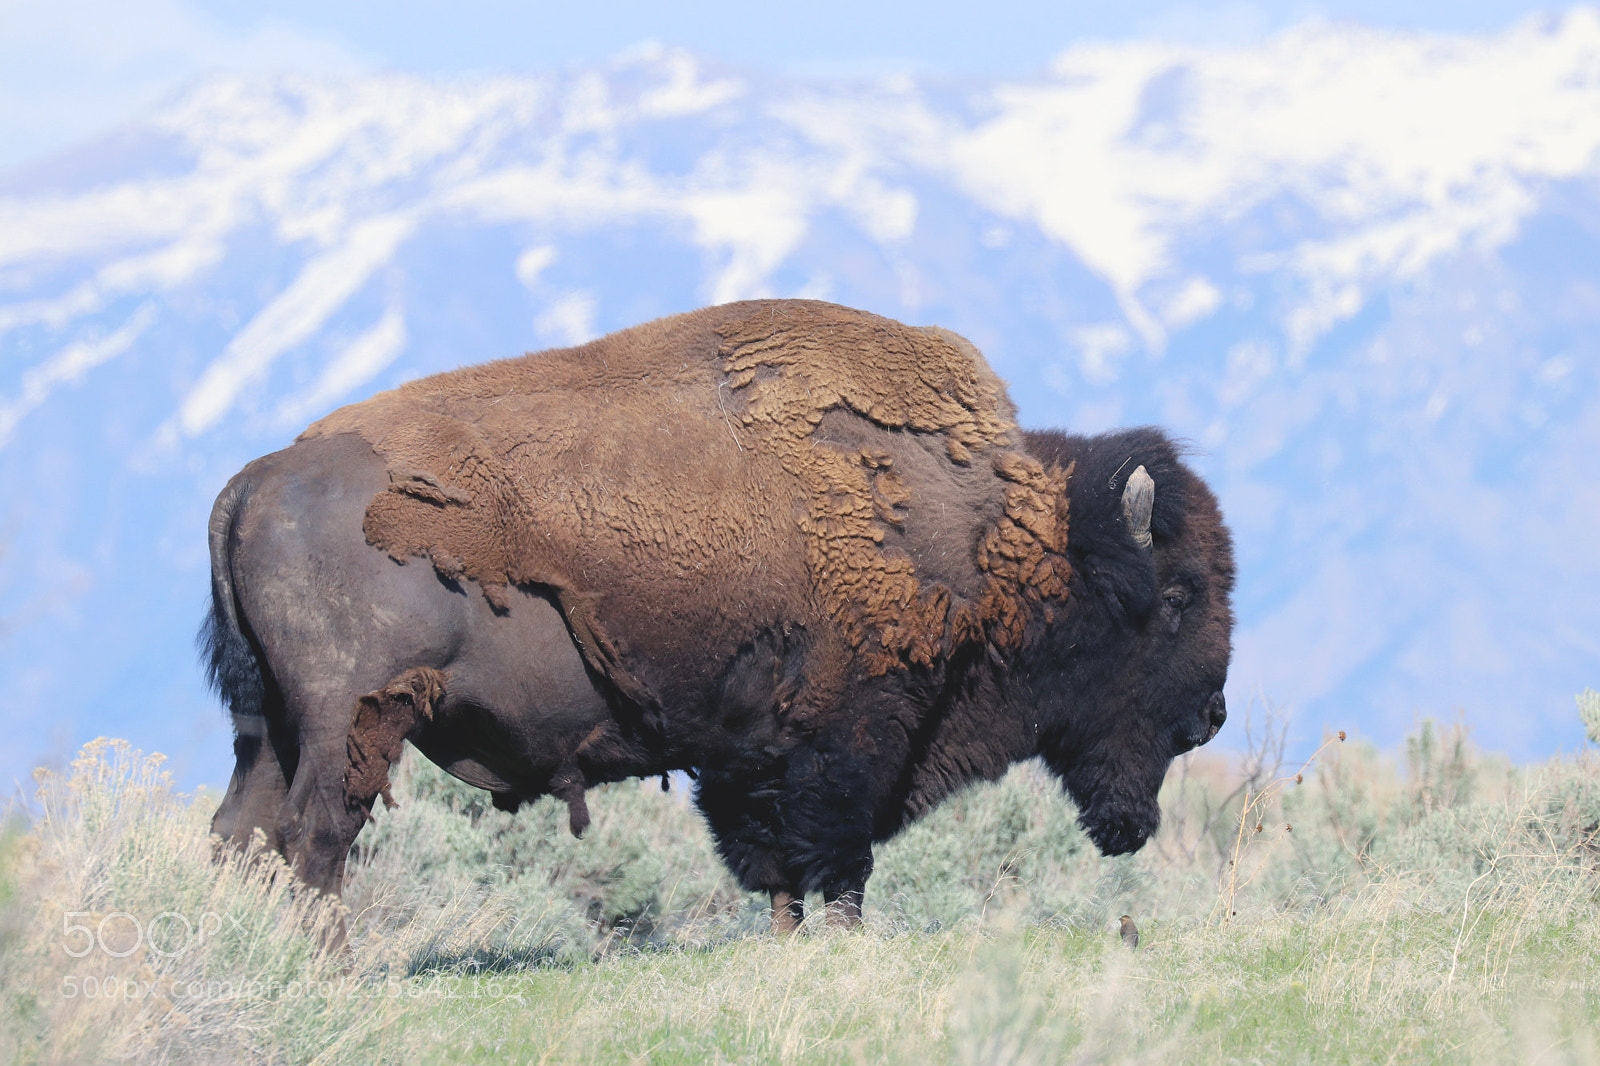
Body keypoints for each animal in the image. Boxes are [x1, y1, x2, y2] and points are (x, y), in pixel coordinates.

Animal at [203, 299, 1234, 930]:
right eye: (1178, 596)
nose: (1212, 715)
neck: (986, 533)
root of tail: (257, 478)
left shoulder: (751, 759)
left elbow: (777, 870)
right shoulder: (847, 743)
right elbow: (836, 862)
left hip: (267, 727)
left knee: (240, 835)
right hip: (354, 721)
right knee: (314, 838)